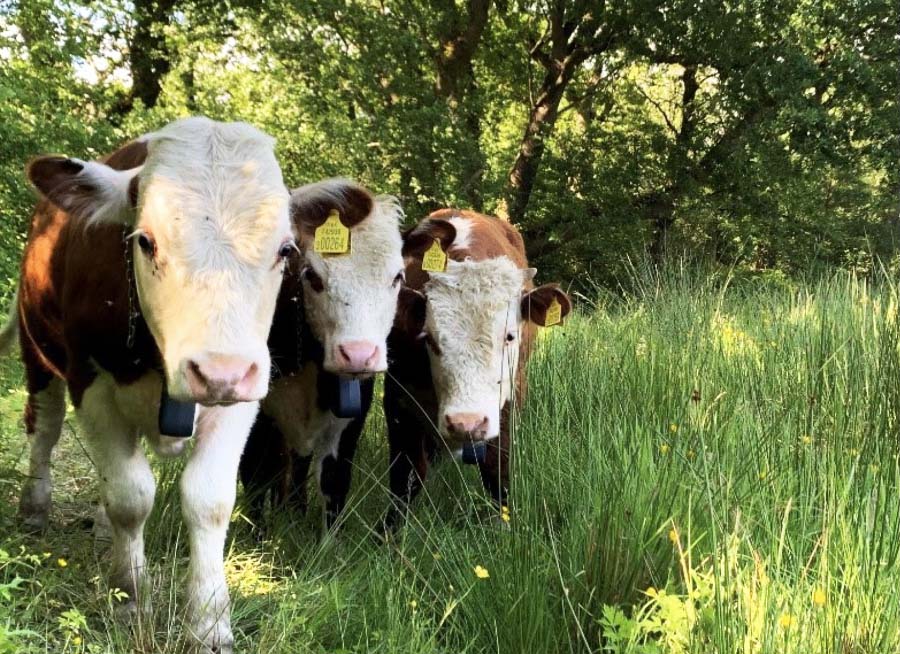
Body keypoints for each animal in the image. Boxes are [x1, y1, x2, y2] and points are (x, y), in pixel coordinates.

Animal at [7, 119, 296, 654]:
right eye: (145, 241)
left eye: (285, 249)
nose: (219, 372)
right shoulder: (91, 385)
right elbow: (130, 496)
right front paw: (130, 597)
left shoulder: (243, 395)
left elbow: (208, 501)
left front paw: (209, 622)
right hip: (39, 357)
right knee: (45, 429)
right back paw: (34, 508)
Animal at [237, 181, 402, 532]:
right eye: (313, 276)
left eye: (397, 277)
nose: (358, 354)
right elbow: (256, 477)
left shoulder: (350, 419)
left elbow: (333, 482)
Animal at [384, 210, 568, 528]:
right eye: (429, 338)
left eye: (509, 336)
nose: (466, 423)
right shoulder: (398, 400)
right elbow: (406, 475)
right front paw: (388, 532)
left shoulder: (509, 400)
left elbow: (497, 467)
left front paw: (502, 524)